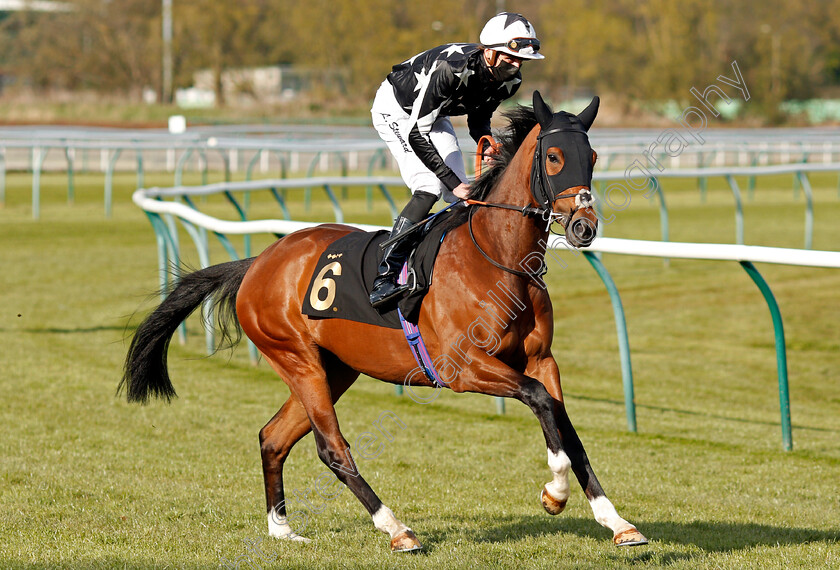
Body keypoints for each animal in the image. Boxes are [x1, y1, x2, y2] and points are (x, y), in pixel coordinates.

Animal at [121, 92, 648, 552]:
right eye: (554, 157)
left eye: (593, 156)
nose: (584, 226)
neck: (496, 258)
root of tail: (257, 262)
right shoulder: (463, 368)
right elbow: (540, 403)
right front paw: (554, 494)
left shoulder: (541, 359)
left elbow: (565, 426)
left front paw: (616, 521)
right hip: (297, 359)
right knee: (332, 448)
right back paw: (397, 530)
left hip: (335, 368)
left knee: (273, 437)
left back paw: (282, 530)